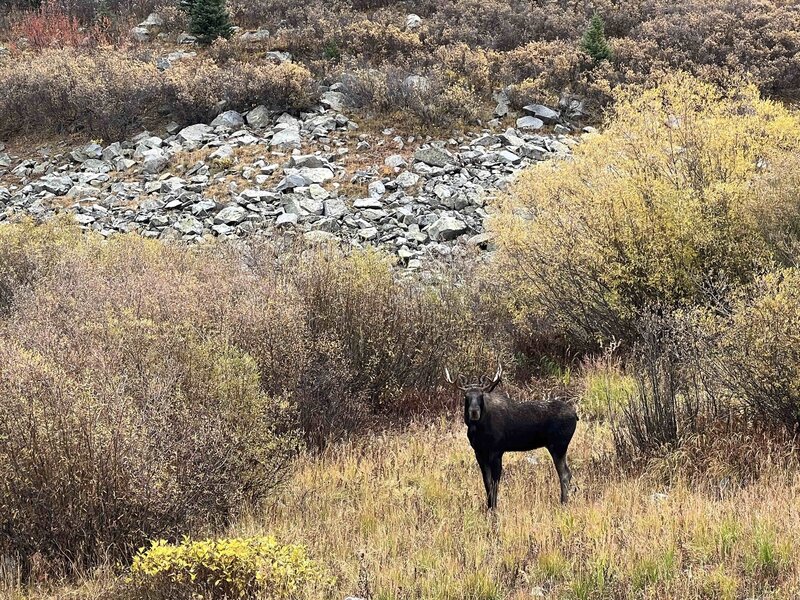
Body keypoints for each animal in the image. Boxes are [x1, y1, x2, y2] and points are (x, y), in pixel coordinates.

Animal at [446, 364, 580, 508]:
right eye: (466, 396)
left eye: (481, 395)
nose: (474, 412)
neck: (479, 429)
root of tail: (575, 415)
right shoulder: (479, 452)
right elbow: (487, 483)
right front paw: (489, 507)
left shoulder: (497, 452)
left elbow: (494, 483)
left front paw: (494, 508)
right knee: (566, 473)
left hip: (558, 445)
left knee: (565, 474)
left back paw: (563, 503)